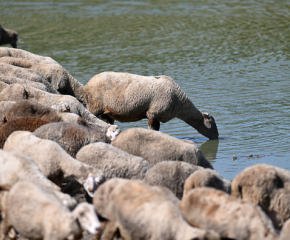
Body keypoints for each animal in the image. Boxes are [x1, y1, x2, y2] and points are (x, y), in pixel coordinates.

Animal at [84, 70, 218, 140]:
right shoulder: (153, 113)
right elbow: (152, 130)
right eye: (211, 124)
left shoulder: (158, 116)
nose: (217, 136)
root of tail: (87, 85)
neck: (179, 102)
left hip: (107, 113)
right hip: (94, 107)